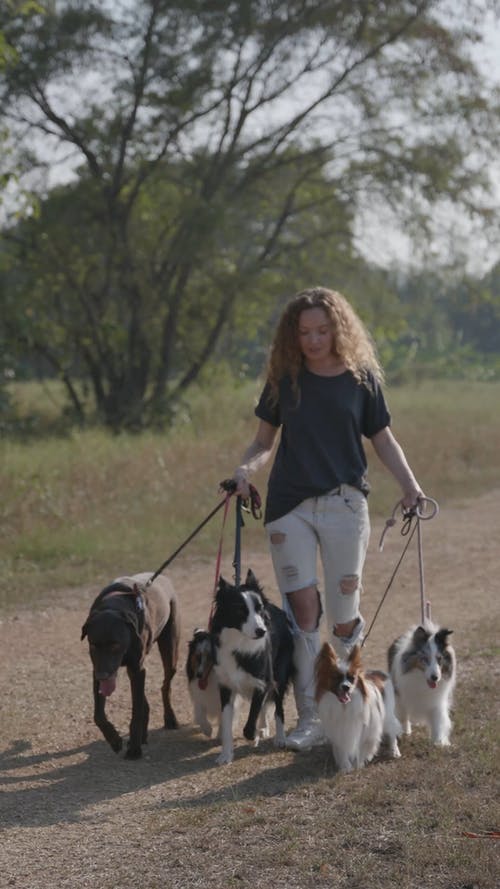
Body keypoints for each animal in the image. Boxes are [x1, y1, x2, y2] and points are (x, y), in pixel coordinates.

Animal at [79, 568, 179, 756]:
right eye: (93, 644)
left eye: (115, 645)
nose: (103, 675)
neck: (115, 605)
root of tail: (163, 577)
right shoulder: (98, 668)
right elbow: (98, 714)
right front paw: (114, 739)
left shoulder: (136, 669)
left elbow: (136, 711)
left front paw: (134, 749)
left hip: (170, 651)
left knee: (165, 686)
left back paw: (169, 718)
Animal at [210, 568, 294, 764]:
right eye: (240, 610)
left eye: (259, 609)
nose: (261, 631)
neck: (240, 642)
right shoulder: (225, 685)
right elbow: (226, 723)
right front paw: (225, 755)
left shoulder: (262, 682)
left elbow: (251, 720)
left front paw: (253, 735)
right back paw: (263, 727)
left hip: (279, 674)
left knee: (278, 708)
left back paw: (280, 738)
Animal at [314, 640, 400, 772]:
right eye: (336, 677)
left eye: (352, 678)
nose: (346, 687)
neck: (344, 706)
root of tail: (380, 673)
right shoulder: (339, 730)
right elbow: (342, 749)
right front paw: (346, 767)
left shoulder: (367, 729)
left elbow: (362, 748)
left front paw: (358, 765)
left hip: (387, 716)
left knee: (392, 732)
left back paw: (394, 751)